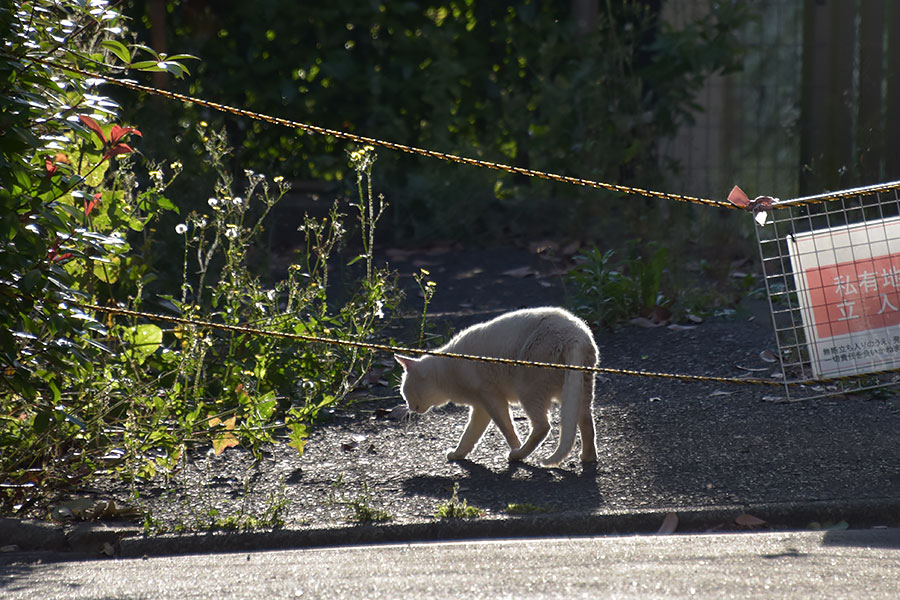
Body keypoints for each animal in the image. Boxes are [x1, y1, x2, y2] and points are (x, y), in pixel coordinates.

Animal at [396, 308, 596, 466]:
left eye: (405, 393)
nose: (410, 407)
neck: (447, 369)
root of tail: (575, 336)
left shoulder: (491, 397)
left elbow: (507, 429)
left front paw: (515, 447)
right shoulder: (481, 407)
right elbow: (470, 435)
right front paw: (458, 454)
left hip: (529, 390)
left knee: (542, 426)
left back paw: (518, 455)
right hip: (579, 390)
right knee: (586, 421)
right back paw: (588, 457)